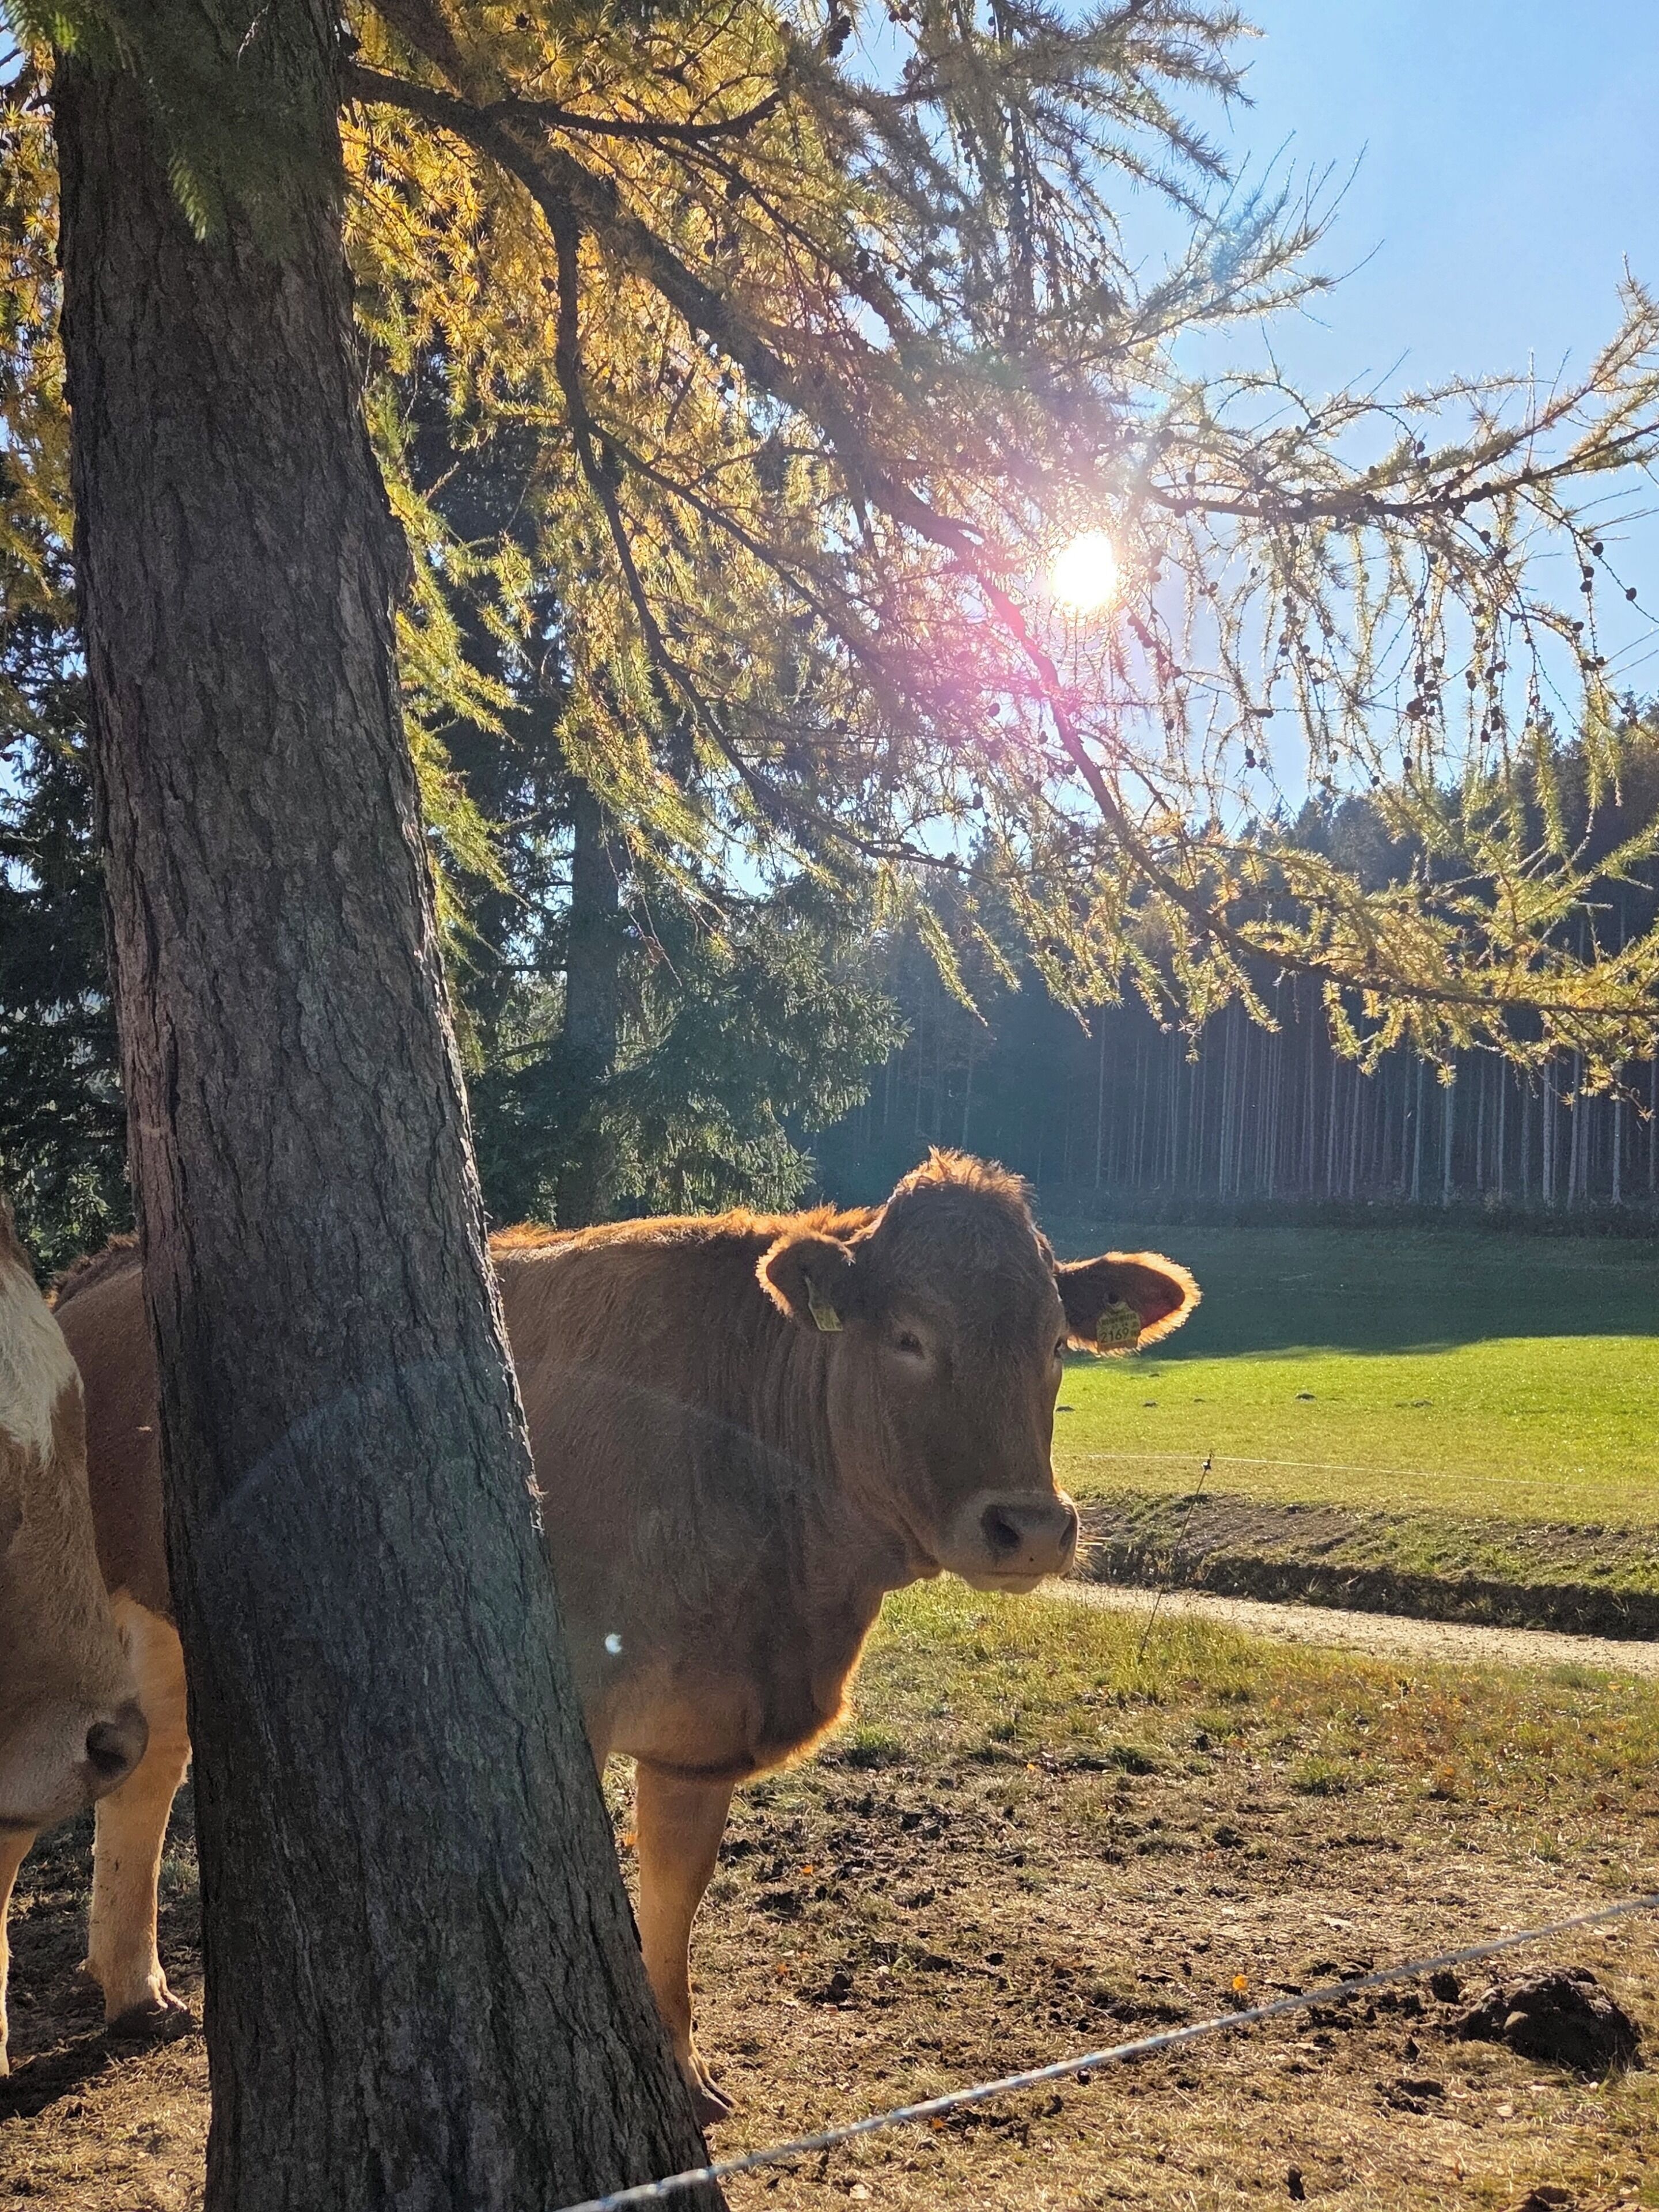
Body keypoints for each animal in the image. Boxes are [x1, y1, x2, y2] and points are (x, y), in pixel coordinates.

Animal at [49, 1151, 1197, 2119]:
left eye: (1056, 1346)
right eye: (907, 1337)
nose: (1031, 1525)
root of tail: (99, 1273)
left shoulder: (702, 1732)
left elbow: (674, 1899)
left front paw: (680, 2068)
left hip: (169, 1619)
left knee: (150, 1771)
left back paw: (136, 1990)